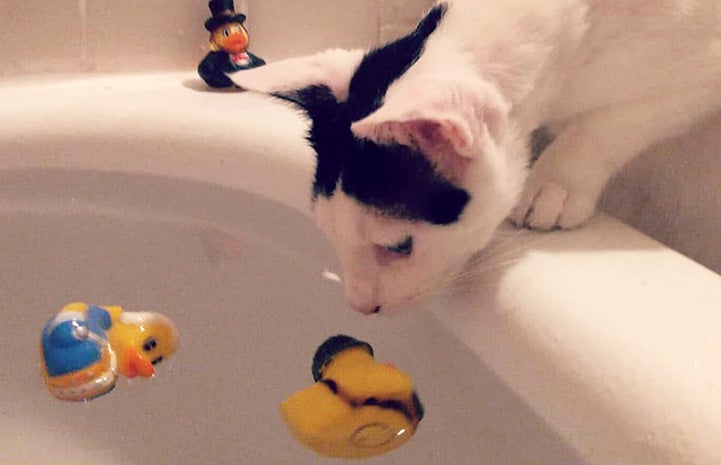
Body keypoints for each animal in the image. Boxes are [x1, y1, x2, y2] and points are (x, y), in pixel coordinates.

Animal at [229, 0, 720, 312]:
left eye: (398, 247)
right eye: (330, 233)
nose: (360, 306)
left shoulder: (698, 73)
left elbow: (608, 125)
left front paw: (554, 183)